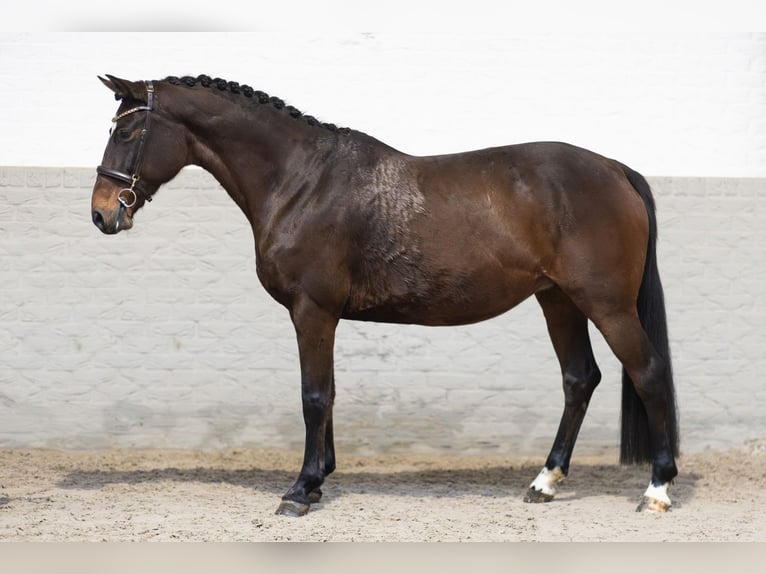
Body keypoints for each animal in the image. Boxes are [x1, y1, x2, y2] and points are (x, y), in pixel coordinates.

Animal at [93, 74, 680, 520]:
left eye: (132, 129)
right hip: (558, 301)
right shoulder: (322, 316)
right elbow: (328, 394)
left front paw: (300, 490)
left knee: (648, 372)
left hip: (605, 304)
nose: (102, 212)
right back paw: (545, 481)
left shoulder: (313, 311)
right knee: (580, 379)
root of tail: (615, 169)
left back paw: (657, 489)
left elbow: (313, 396)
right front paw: (320, 478)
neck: (301, 181)